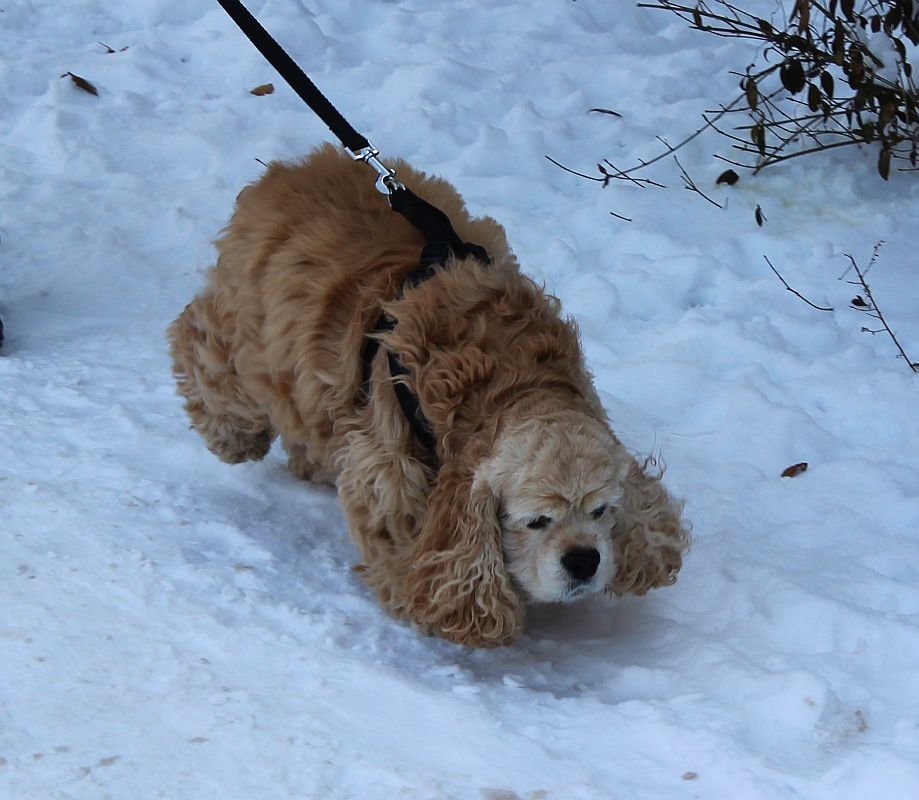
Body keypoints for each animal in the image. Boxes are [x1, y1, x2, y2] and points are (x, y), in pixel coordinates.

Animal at [169, 142, 688, 644]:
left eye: (602, 511)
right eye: (535, 521)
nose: (584, 560)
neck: (507, 381)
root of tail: (290, 169)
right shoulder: (388, 468)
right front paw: (421, 597)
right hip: (249, 345)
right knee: (197, 338)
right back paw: (232, 435)